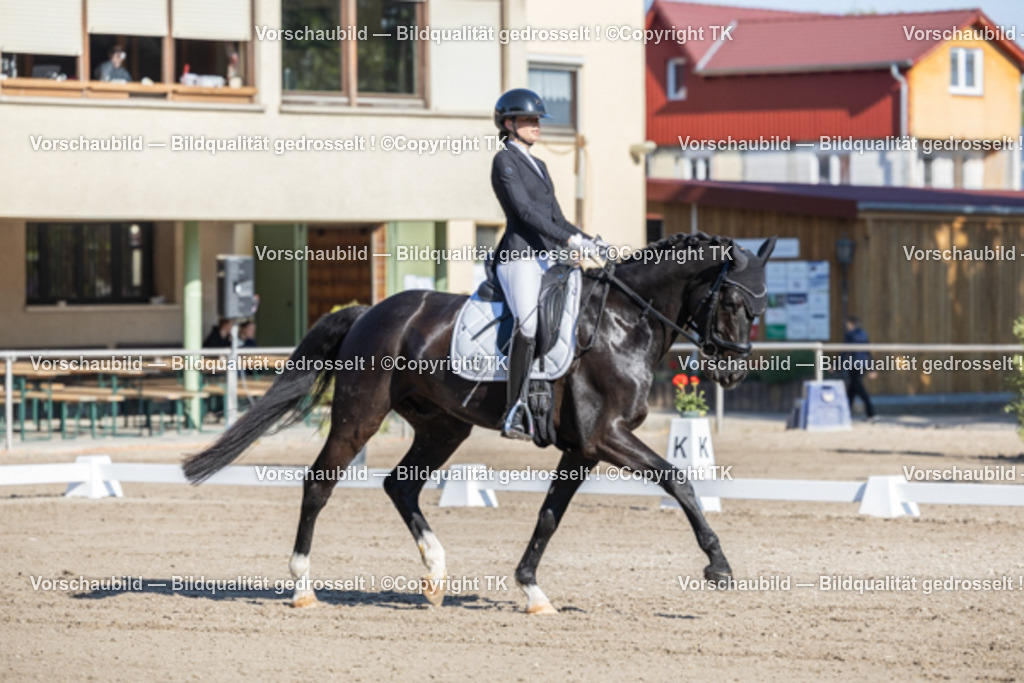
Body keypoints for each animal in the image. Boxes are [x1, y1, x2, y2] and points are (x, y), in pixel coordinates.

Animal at [184, 232, 776, 614]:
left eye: (760, 307)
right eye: (730, 299)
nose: (733, 370)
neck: (623, 322)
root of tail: (369, 311)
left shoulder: (582, 448)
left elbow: (548, 516)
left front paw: (532, 591)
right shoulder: (605, 436)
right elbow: (679, 479)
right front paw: (719, 566)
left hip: (444, 426)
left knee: (401, 486)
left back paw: (435, 576)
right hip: (361, 415)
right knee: (319, 482)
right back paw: (303, 586)